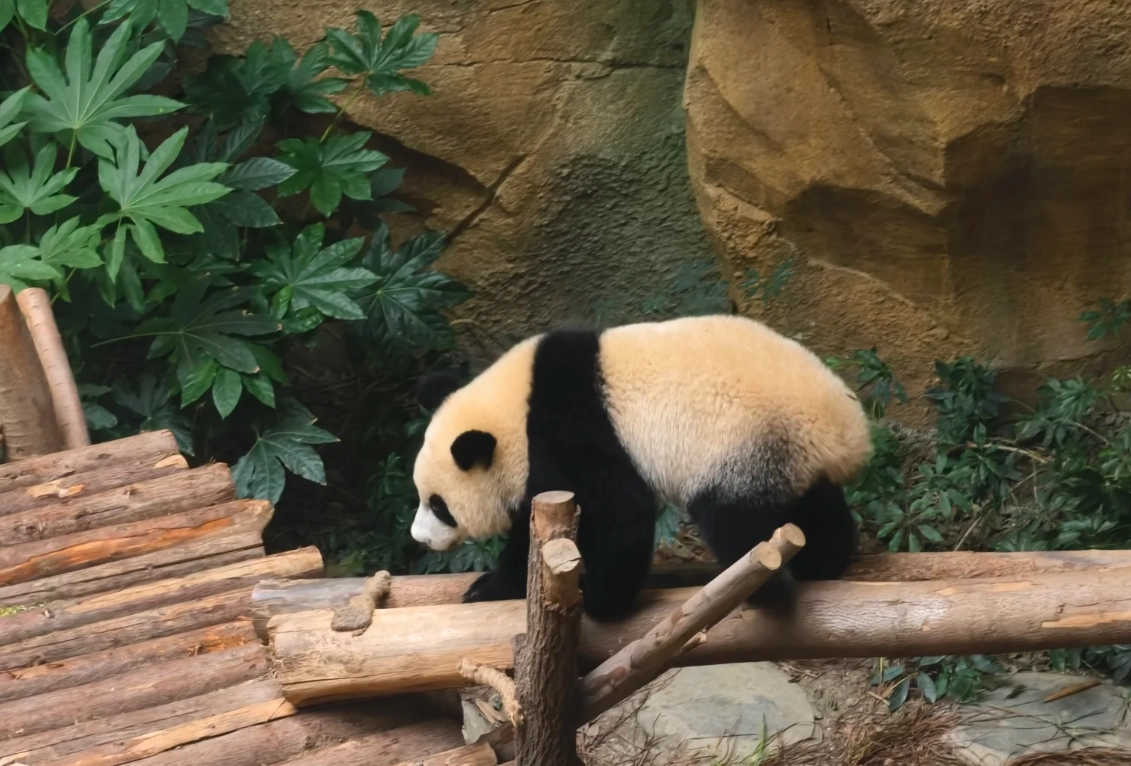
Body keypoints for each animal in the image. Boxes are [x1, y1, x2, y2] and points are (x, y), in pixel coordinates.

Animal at [410, 314, 873, 620]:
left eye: (439, 505)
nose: (419, 538)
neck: (516, 413)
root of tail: (847, 433)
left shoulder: (573, 432)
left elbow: (618, 513)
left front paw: (598, 601)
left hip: (745, 444)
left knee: (735, 522)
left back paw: (761, 589)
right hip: (792, 460)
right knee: (818, 510)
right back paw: (822, 565)